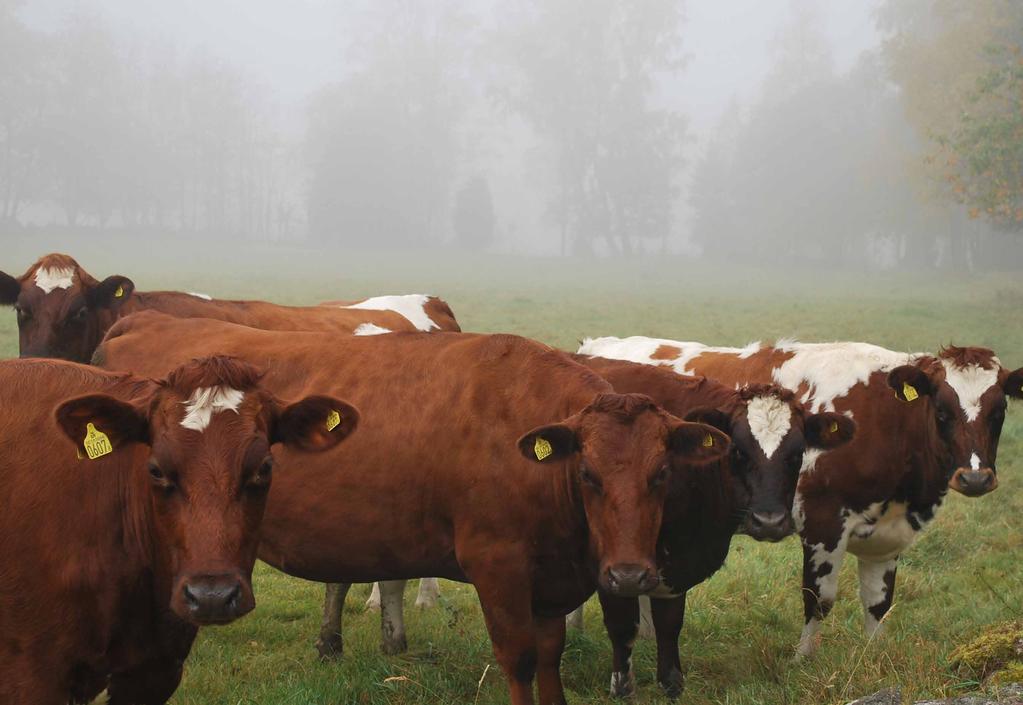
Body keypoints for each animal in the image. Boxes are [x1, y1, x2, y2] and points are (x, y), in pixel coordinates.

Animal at [96, 313, 732, 703]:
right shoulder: (497, 567)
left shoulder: (553, 580)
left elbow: (551, 659)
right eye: (589, 475)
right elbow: (521, 659)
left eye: (661, 474)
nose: (629, 575)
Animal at [581, 333, 1023, 654]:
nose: (975, 478)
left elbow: (878, 603)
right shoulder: (823, 523)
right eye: (942, 410)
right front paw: (803, 659)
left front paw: (874, 658)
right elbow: (819, 599)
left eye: (999, 411)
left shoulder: (887, 535)